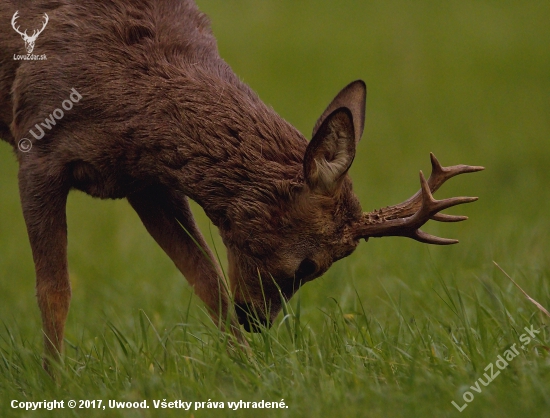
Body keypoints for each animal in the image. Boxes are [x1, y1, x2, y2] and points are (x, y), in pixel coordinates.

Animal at [0, 0, 484, 366]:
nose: (256, 320)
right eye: (308, 265)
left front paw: (247, 368)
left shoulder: (146, 181)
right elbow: (54, 291)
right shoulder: (37, 148)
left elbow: (207, 280)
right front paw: (54, 381)